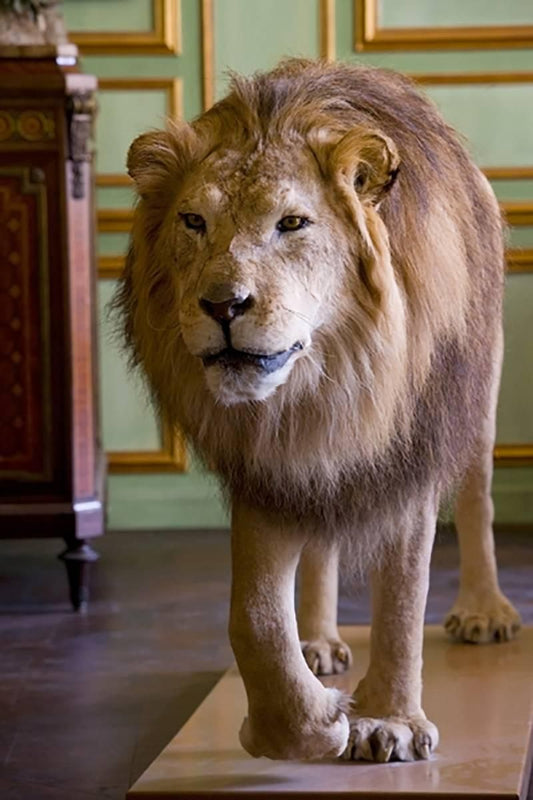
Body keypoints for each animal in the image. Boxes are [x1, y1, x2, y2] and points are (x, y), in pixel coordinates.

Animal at [114, 59, 521, 763]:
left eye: (293, 224)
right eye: (193, 222)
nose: (222, 305)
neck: (319, 391)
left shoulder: (408, 454)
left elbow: (403, 598)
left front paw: (388, 723)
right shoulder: (264, 465)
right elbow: (252, 615)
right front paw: (302, 725)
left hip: (476, 399)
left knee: (476, 497)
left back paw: (483, 612)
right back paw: (318, 645)